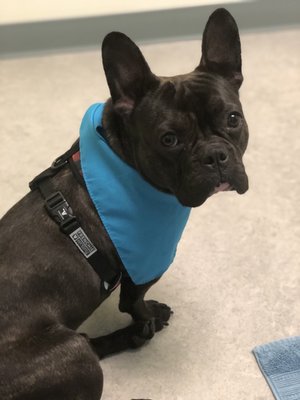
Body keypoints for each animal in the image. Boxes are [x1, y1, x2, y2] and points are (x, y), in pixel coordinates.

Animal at [0, 7, 248, 400]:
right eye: (169, 139)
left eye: (233, 119)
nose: (215, 155)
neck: (124, 159)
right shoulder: (147, 263)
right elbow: (133, 302)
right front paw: (148, 315)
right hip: (73, 357)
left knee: (87, 340)